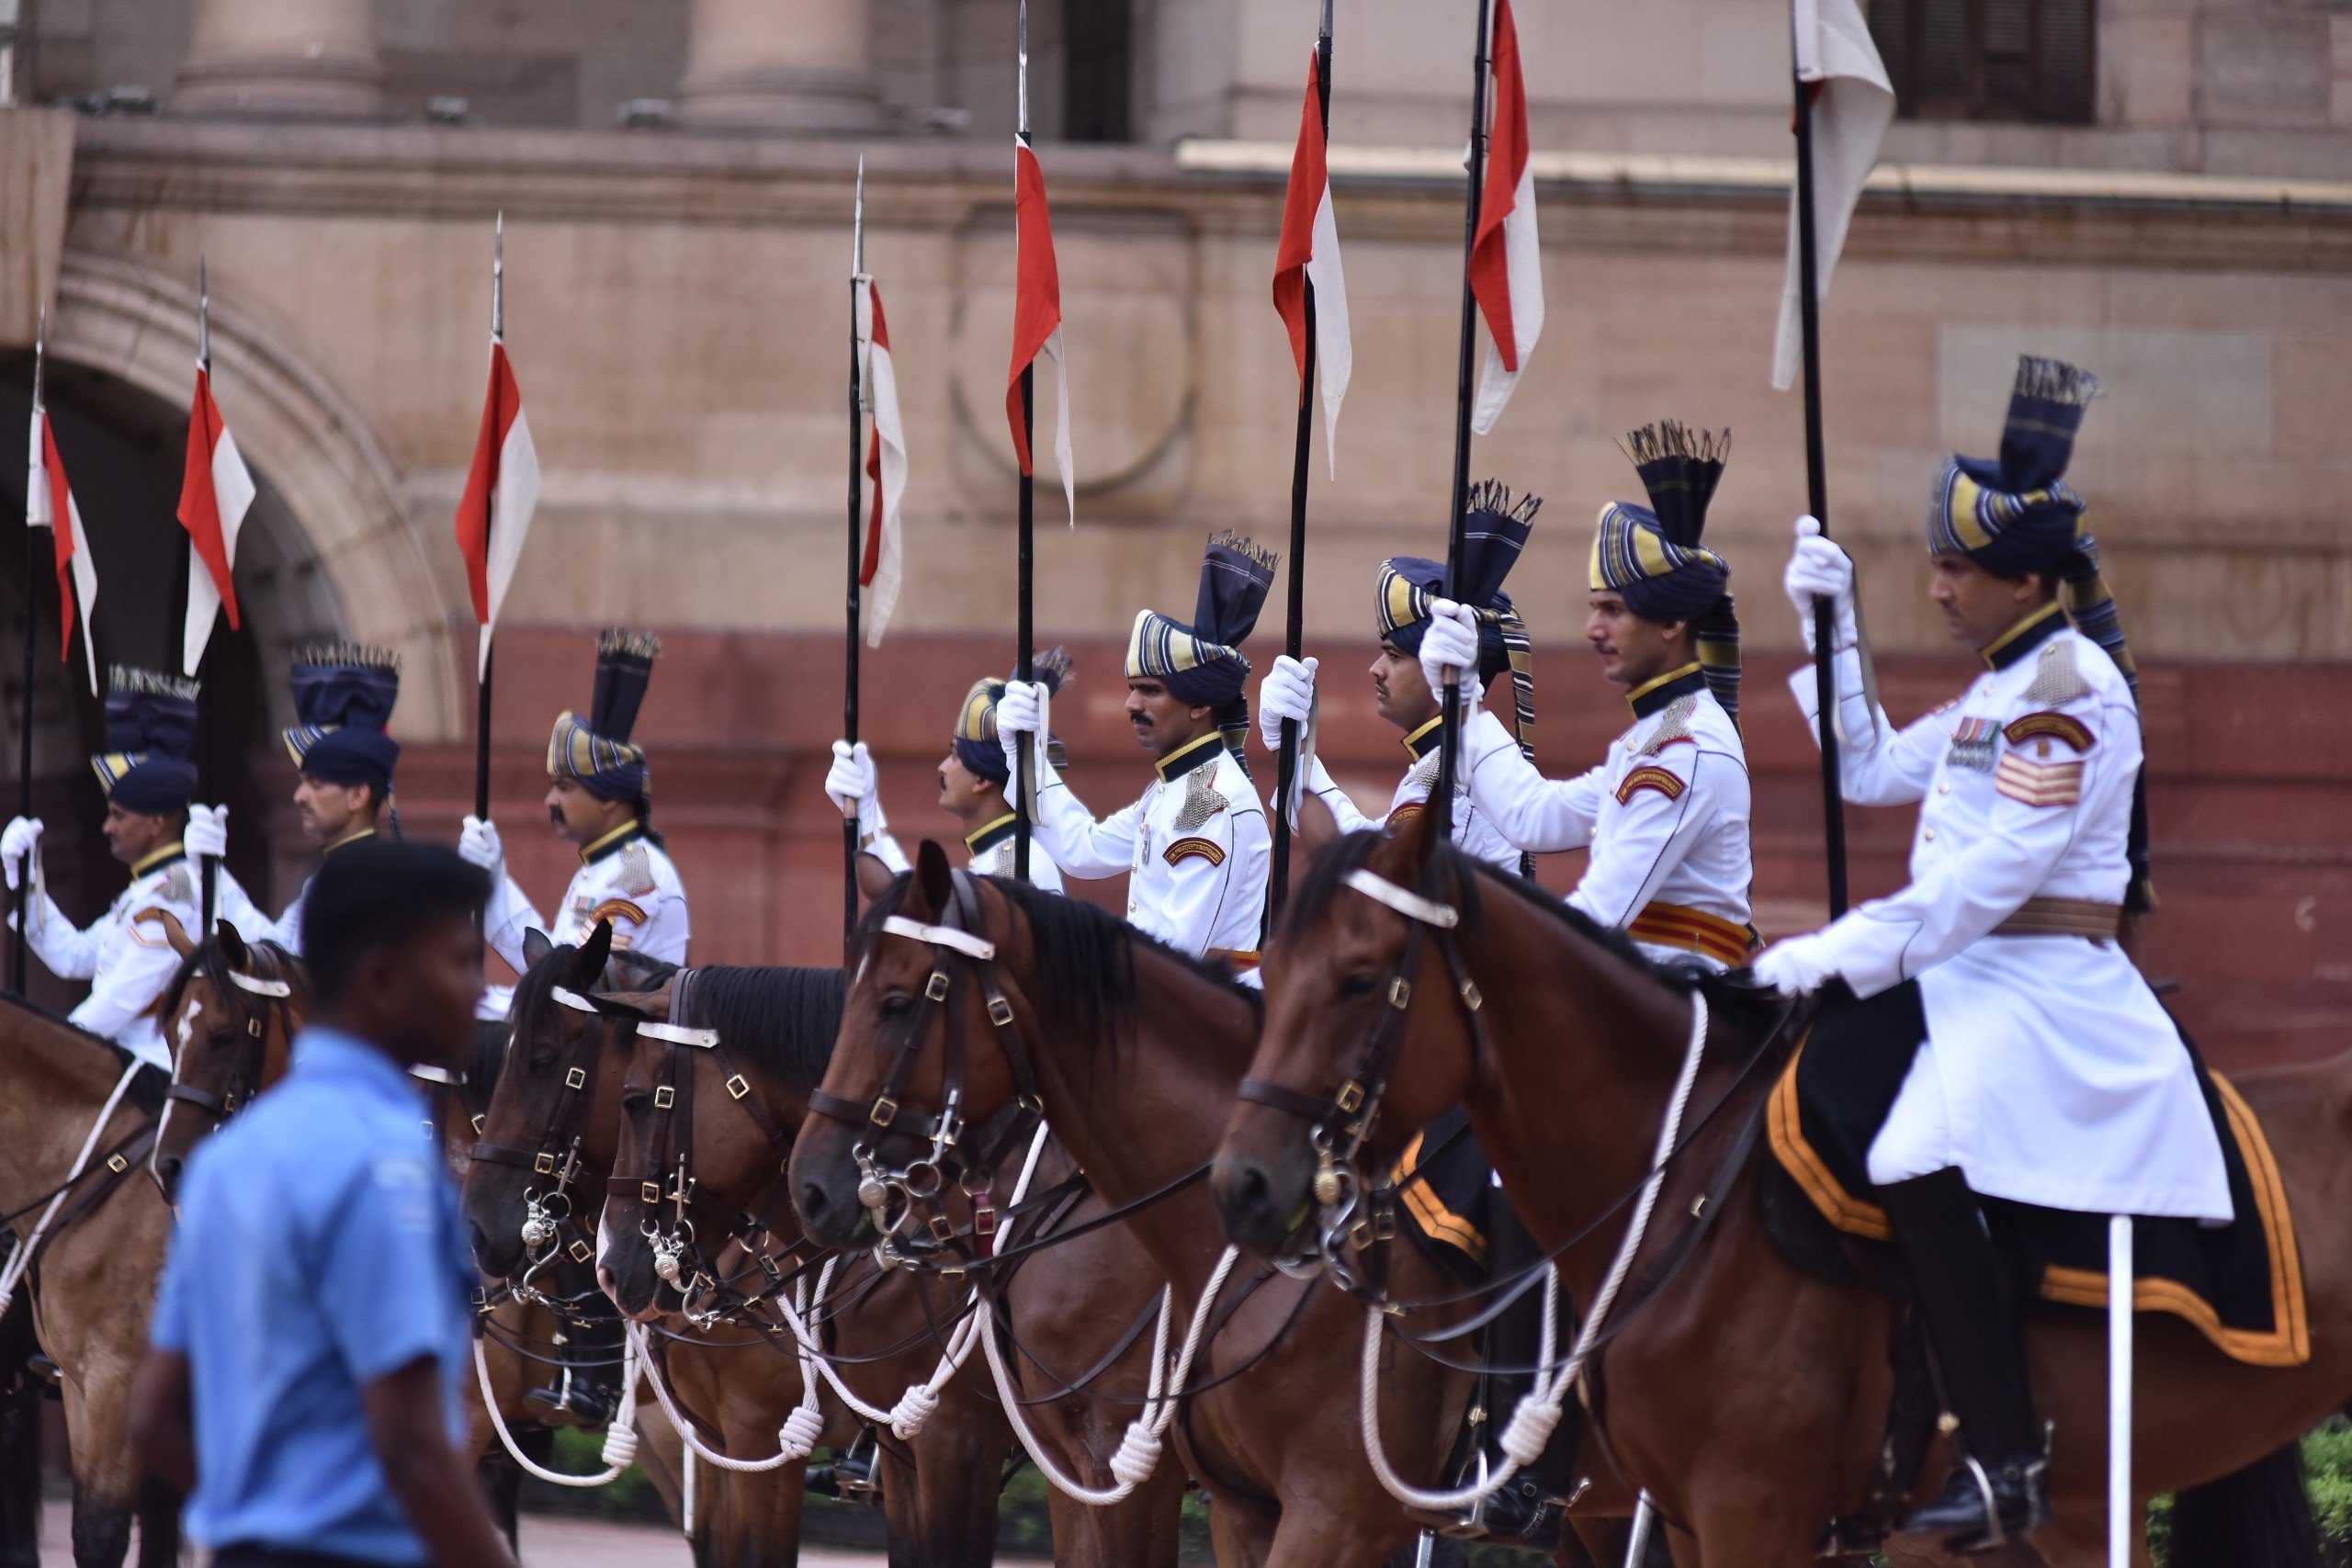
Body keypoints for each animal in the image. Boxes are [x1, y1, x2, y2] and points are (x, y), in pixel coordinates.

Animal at [1204, 822, 2342, 1568]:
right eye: (1278, 965)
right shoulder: (1689, 1514)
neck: (1686, 1190)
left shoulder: (1750, 1506)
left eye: (1360, 977)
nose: (1245, 1186)